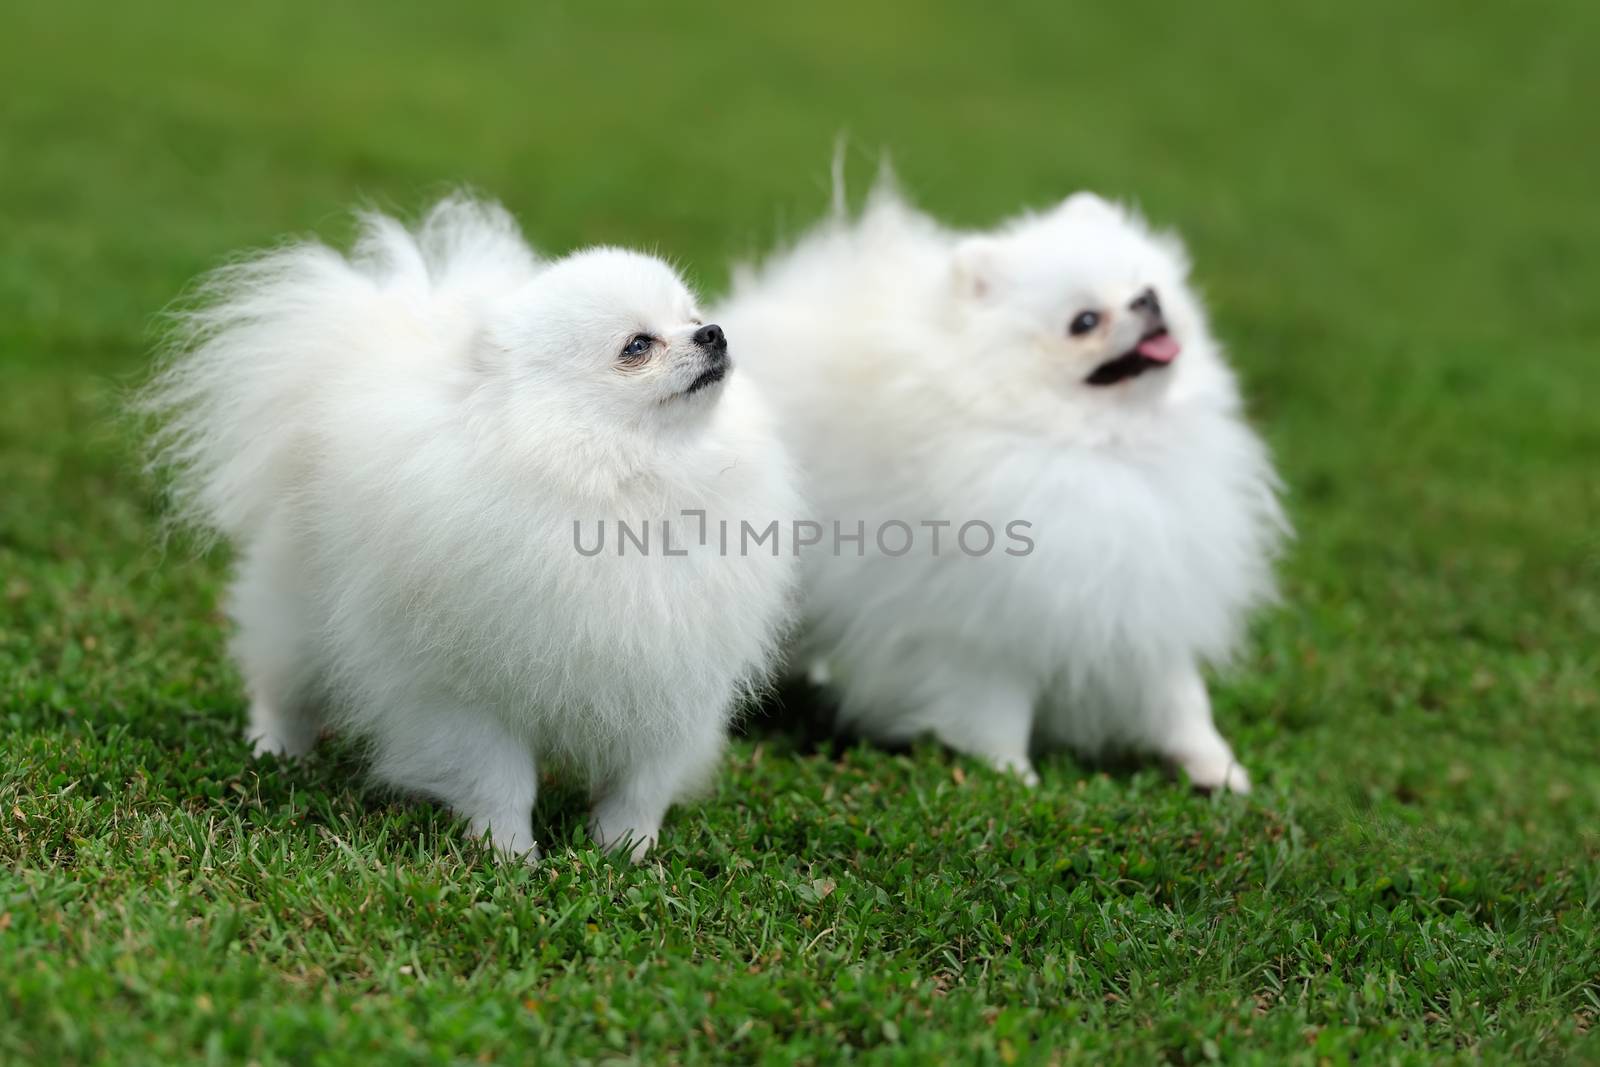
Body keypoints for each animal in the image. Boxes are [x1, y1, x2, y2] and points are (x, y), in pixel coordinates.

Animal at [144, 195, 800, 857]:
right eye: (638, 345)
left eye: (693, 316)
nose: (714, 333)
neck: (621, 486)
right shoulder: (466, 693)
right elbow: (499, 782)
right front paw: (509, 852)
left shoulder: (674, 680)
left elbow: (640, 786)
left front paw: (625, 850)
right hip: (297, 619)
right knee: (281, 688)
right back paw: (275, 751)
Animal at [713, 177, 1286, 793]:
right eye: (1084, 322)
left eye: (1149, 287)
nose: (1147, 304)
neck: (1106, 447)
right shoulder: (979, 625)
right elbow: (993, 713)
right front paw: (1013, 779)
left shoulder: (1143, 593)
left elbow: (1181, 702)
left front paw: (1219, 771)